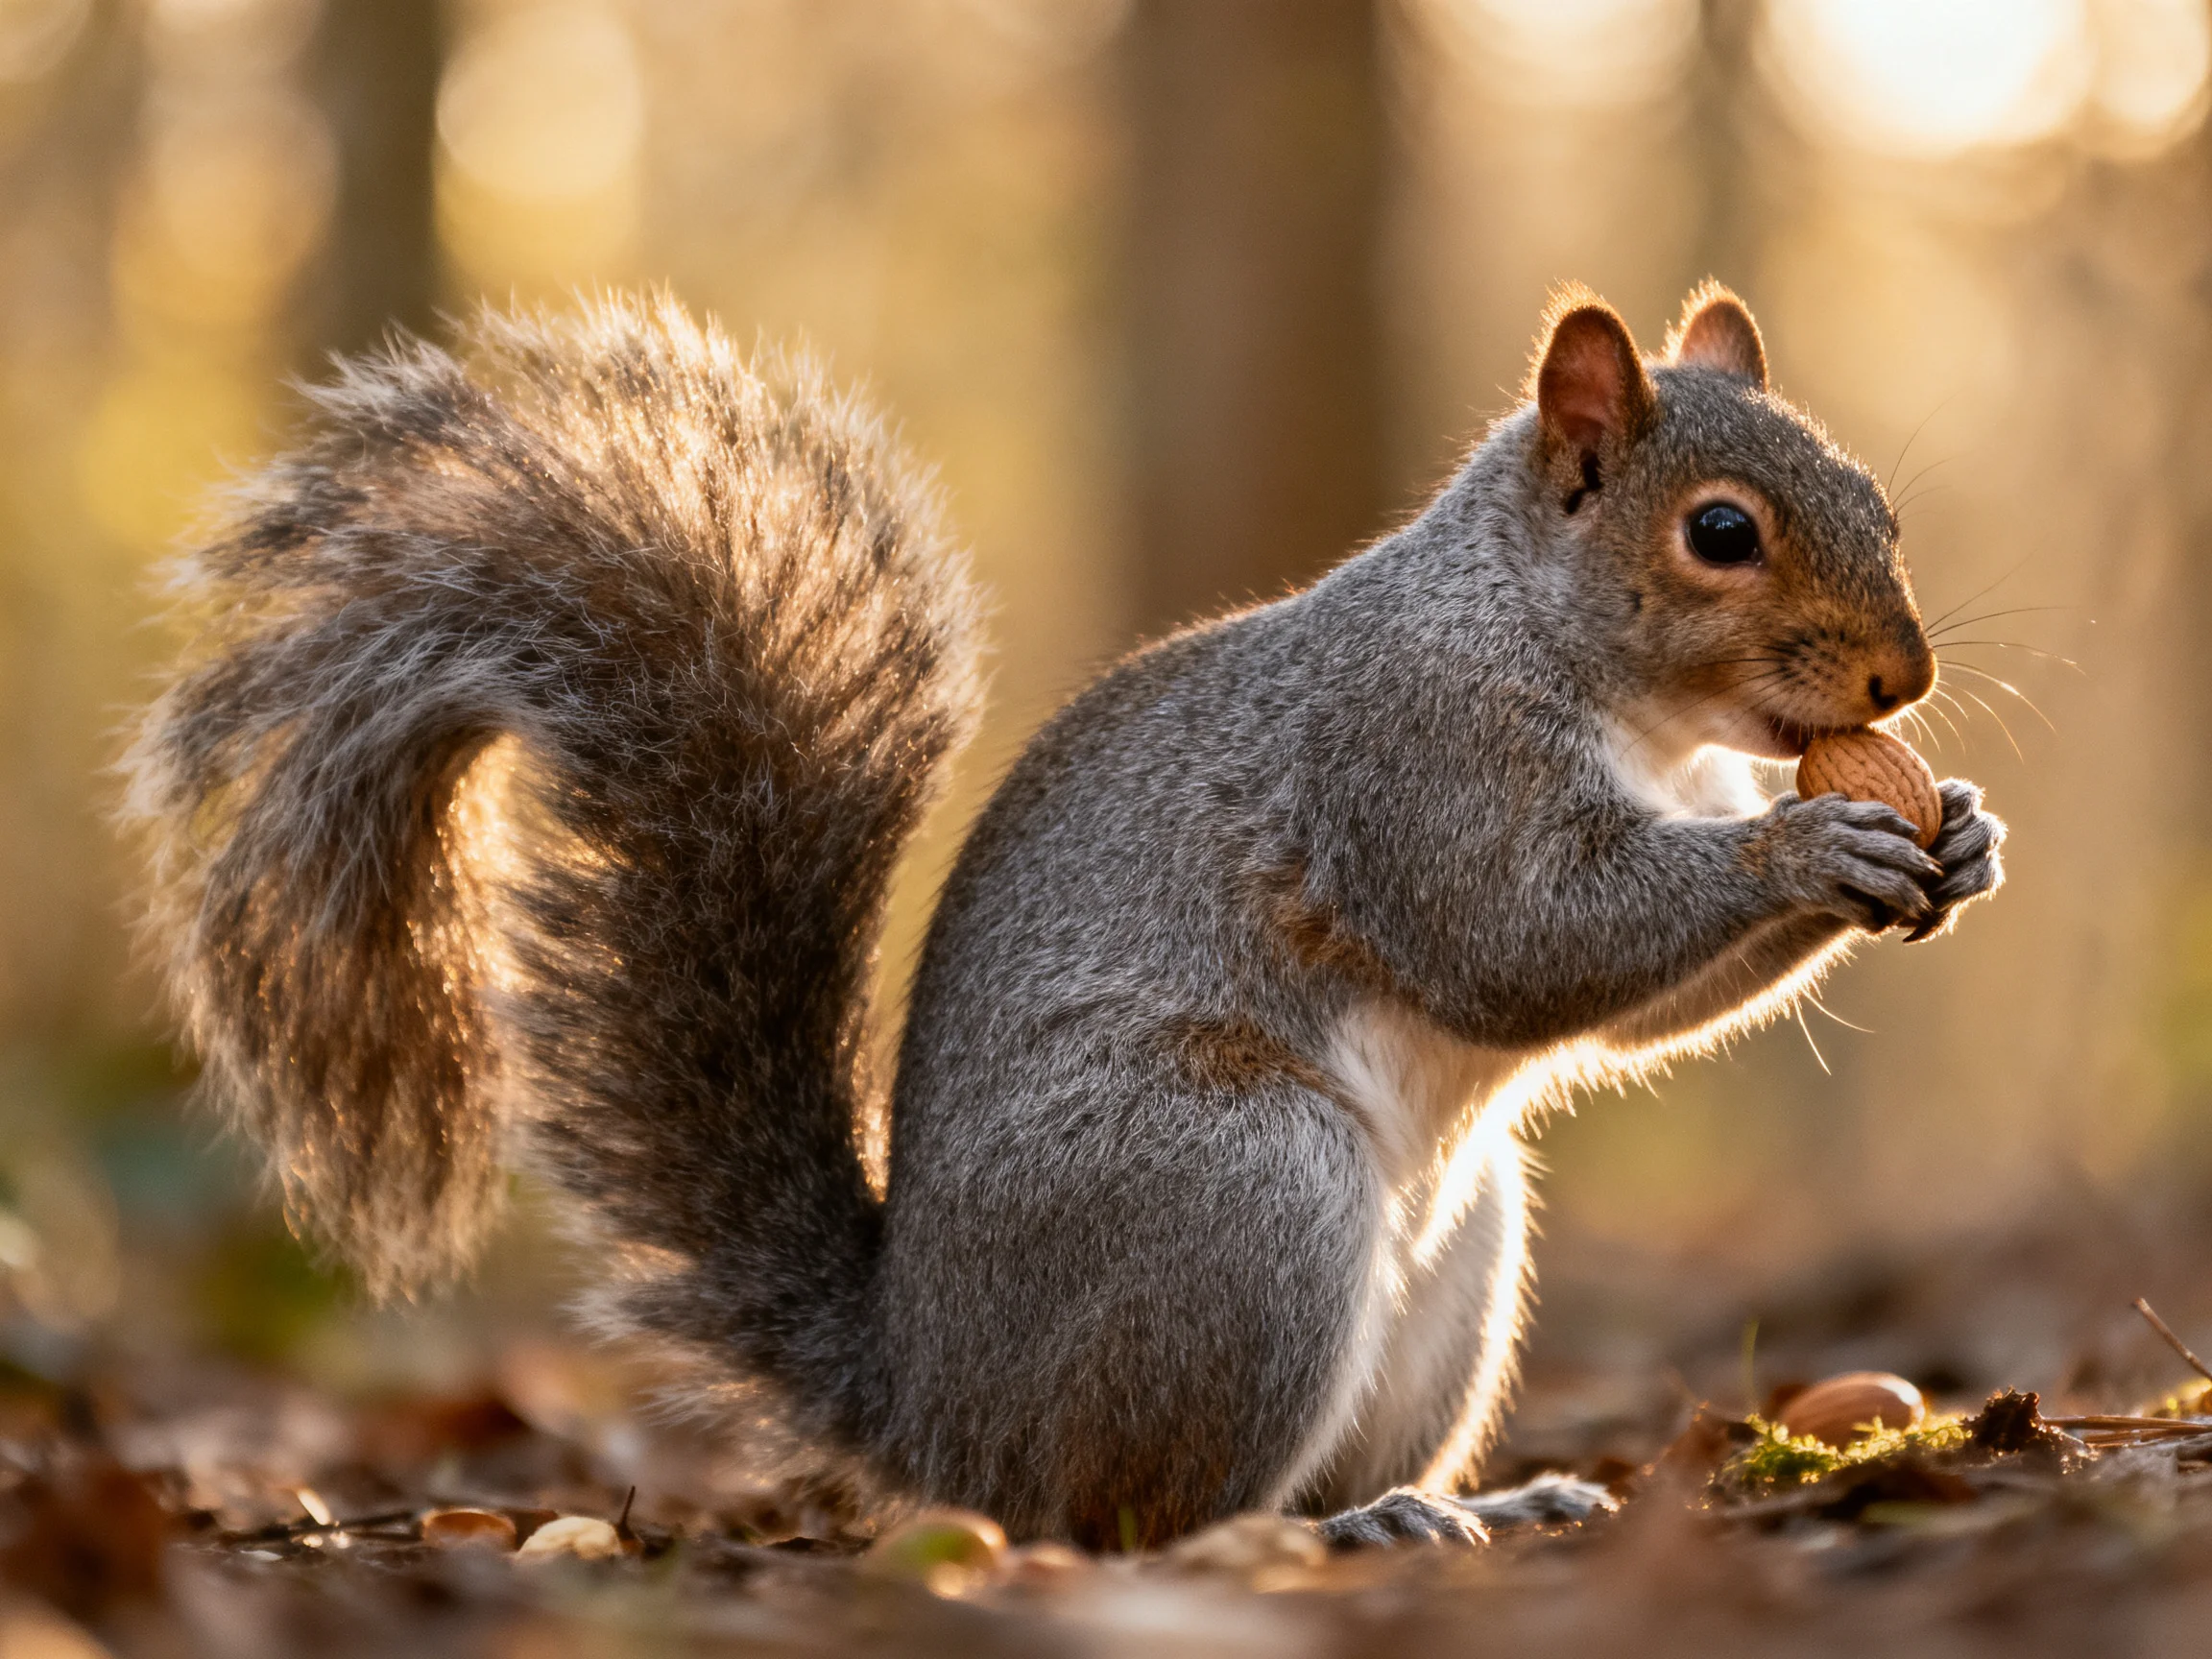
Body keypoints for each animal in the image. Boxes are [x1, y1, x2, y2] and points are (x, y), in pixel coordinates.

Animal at [123, 284, 2002, 1550]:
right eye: (1719, 532)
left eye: (1882, 505)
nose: (1899, 681)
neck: (1581, 667)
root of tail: (934, 1409)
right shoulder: (1411, 759)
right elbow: (1524, 937)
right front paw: (1803, 848)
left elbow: (1635, 1004)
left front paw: (1953, 835)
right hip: (1230, 1195)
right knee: (1140, 1517)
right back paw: (1338, 1528)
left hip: (1452, 1266)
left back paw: (1492, 1499)